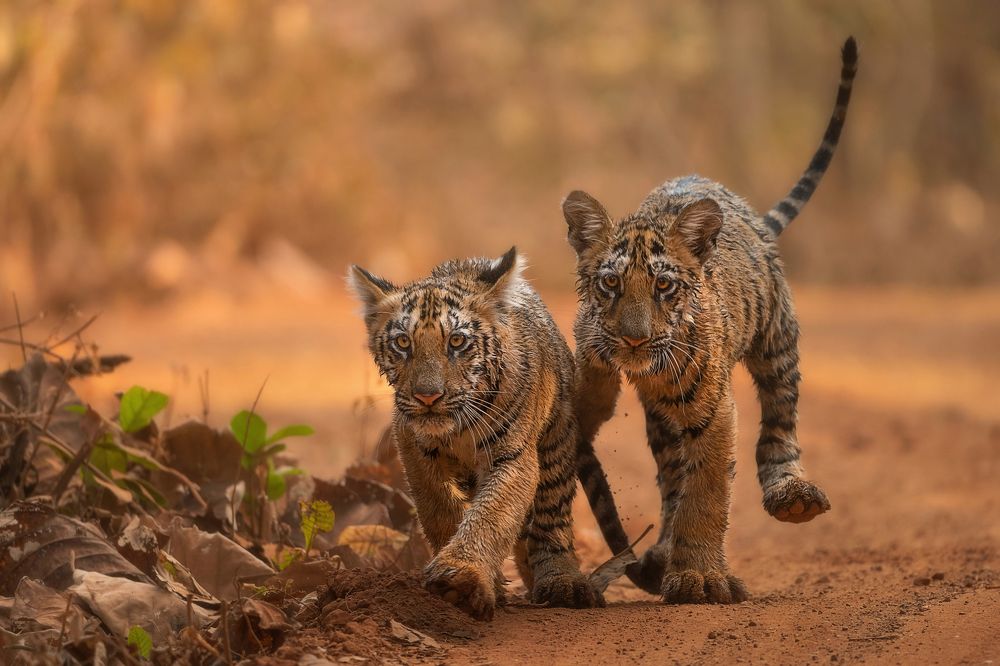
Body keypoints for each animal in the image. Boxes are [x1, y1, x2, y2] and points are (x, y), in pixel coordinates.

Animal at [349, 248, 604, 620]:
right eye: (403, 342)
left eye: (456, 341)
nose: (428, 397)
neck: (457, 428)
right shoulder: (412, 447)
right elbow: (438, 507)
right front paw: (480, 581)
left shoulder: (514, 458)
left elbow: (491, 514)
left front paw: (462, 579)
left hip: (557, 444)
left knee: (551, 520)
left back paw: (562, 582)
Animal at [567, 37, 858, 603]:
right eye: (610, 284)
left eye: (663, 286)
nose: (634, 341)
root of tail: (749, 215)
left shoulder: (711, 409)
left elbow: (707, 491)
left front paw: (699, 578)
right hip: (663, 422)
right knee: (670, 476)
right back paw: (661, 552)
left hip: (777, 341)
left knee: (779, 422)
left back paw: (792, 495)